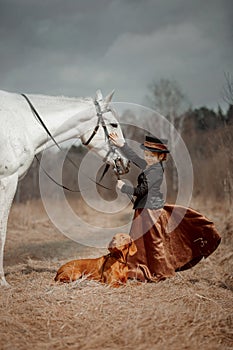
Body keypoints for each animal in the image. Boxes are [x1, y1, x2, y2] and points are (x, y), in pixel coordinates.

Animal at [0, 89, 129, 286]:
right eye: (114, 124)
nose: (124, 162)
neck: (24, 124)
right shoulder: (8, 180)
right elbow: (2, 229)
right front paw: (2, 281)